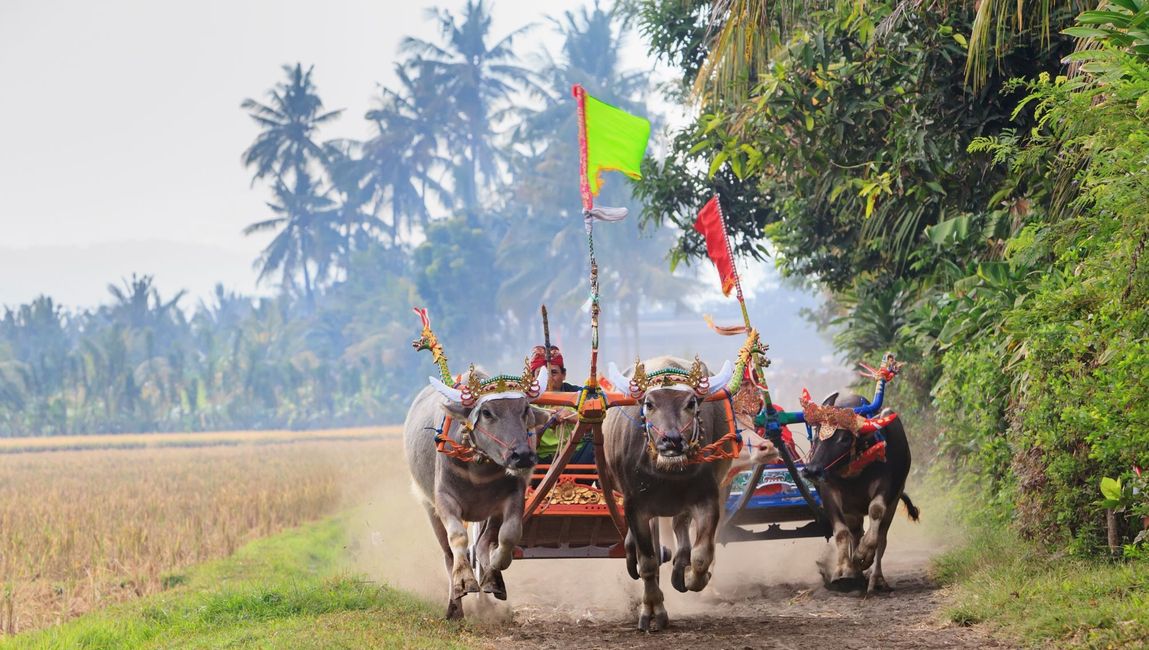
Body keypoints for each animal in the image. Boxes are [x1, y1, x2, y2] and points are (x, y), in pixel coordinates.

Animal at [402, 369, 549, 620]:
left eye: (524, 410)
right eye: (487, 413)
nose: (522, 456)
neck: (478, 469)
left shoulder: (511, 498)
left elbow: (509, 535)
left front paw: (497, 566)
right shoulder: (444, 500)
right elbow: (458, 538)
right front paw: (464, 581)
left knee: (483, 544)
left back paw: (492, 579)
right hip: (430, 508)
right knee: (449, 555)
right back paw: (455, 605)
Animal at [606, 356, 730, 633]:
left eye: (690, 403)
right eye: (649, 404)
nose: (671, 441)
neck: (667, 472)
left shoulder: (707, 499)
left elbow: (701, 556)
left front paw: (695, 576)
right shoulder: (635, 506)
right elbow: (648, 563)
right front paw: (652, 611)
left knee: (680, 528)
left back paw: (680, 568)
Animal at [804, 392, 919, 597]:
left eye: (844, 439)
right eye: (817, 434)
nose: (812, 470)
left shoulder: (886, 486)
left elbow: (876, 513)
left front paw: (863, 555)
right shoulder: (829, 493)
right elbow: (842, 533)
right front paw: (843, 570)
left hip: (895, 498)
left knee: (882, 537)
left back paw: (876, 579)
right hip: (852, 511)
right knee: (855, 532)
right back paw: (854, 572)